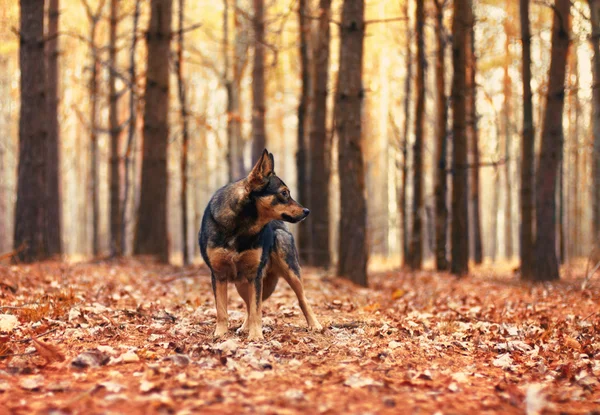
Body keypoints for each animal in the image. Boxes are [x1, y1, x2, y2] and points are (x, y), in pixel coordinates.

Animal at [199, 150, 324, 342]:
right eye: (284, 193)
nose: (306, 211)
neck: (241, 226)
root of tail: (281, 227)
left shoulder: (254, 275)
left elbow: (257, 310)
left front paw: (256, 336)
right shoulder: (219, 275)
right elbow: (222, 311)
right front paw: (220, 334)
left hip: (290, 272)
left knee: (302, 299)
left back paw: (314, 325)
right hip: (242, 283)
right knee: (249, 306)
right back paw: (244, 328)